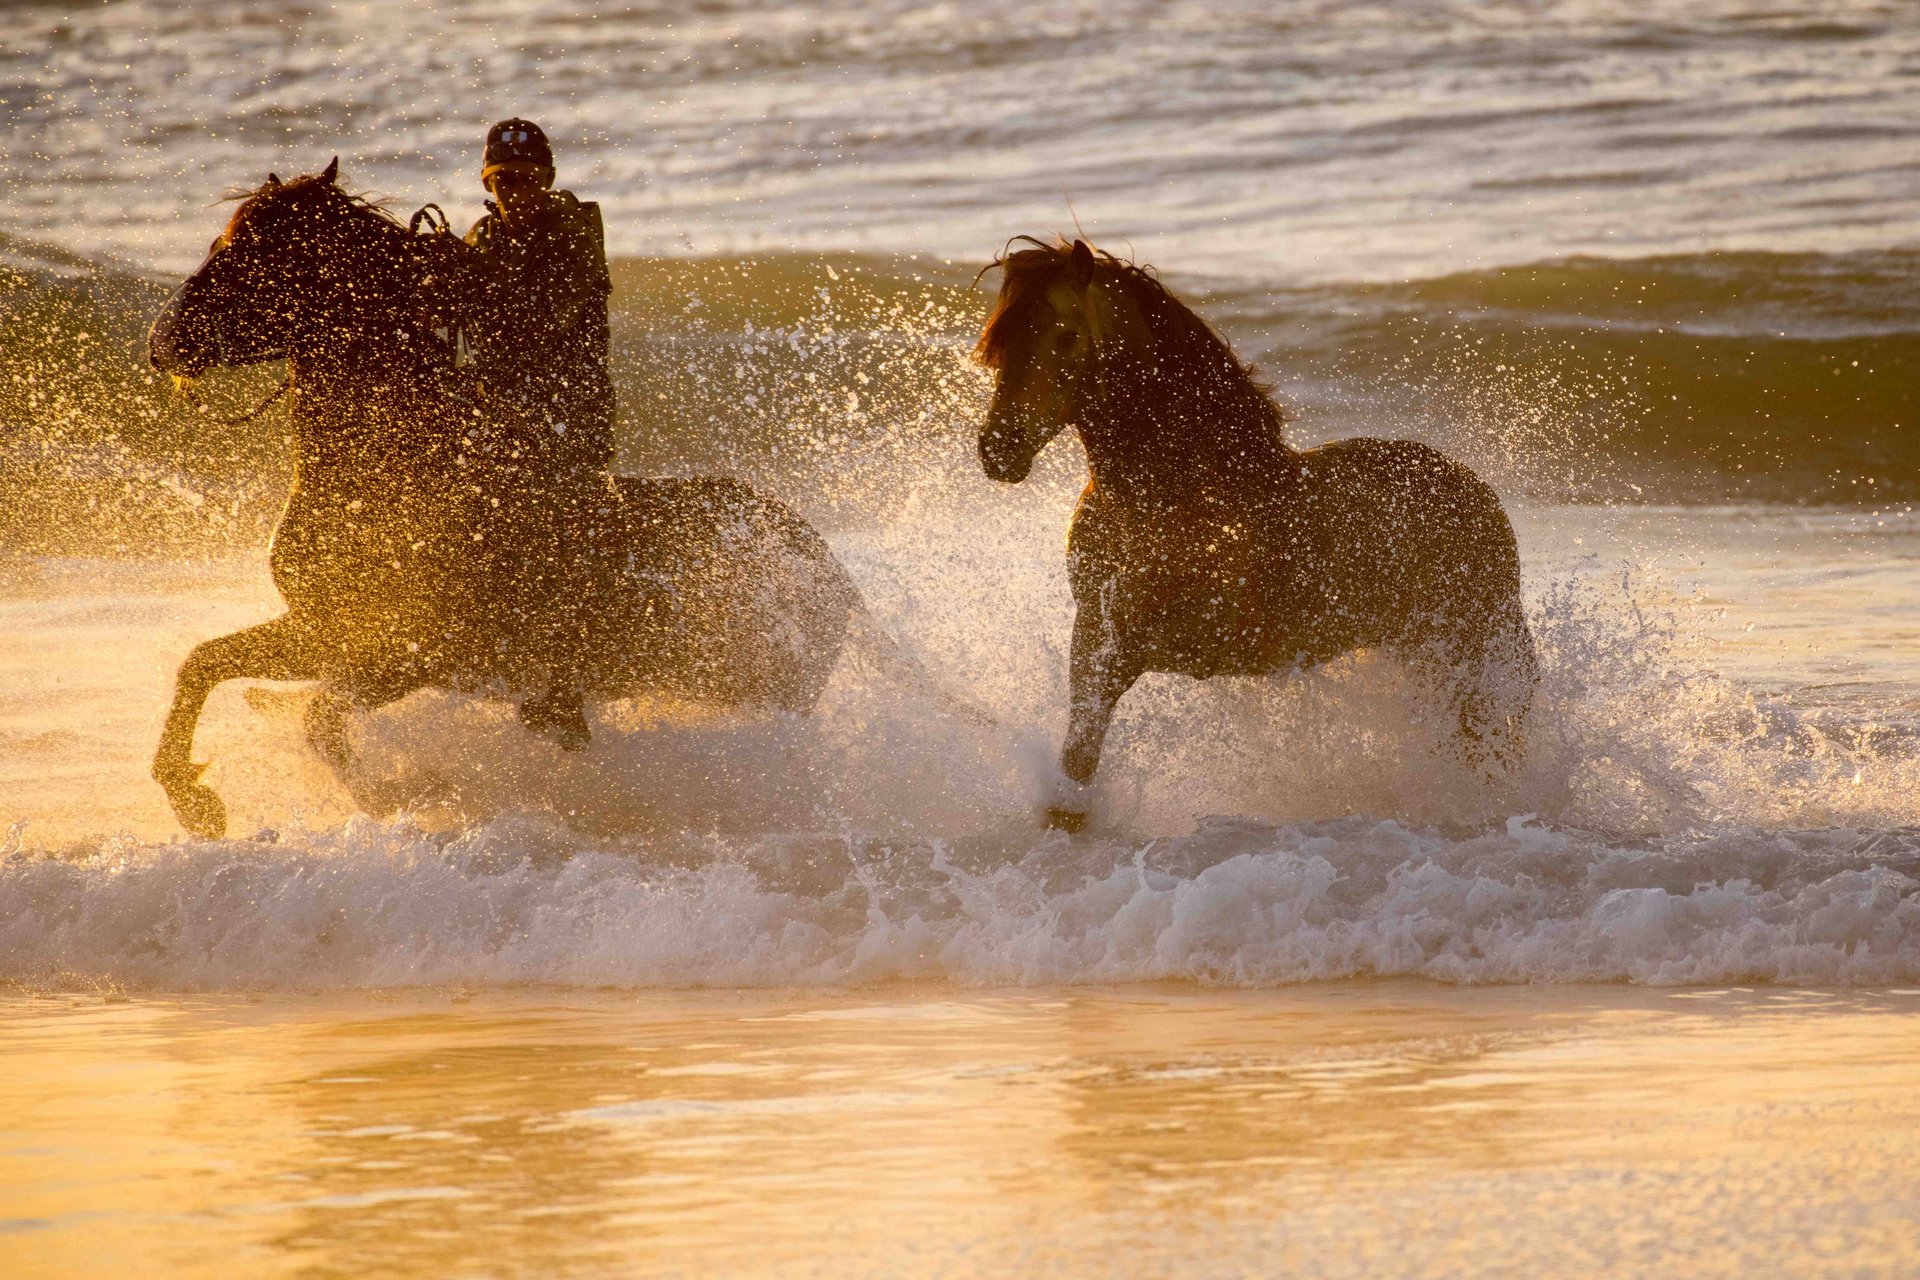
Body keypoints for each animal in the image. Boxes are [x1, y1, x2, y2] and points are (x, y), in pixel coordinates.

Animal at [146, 159, 860, 838]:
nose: (163, 340)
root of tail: (832, 572)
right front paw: (194, 802)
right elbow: (203, 665)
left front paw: (404, 792)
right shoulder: (327, 631)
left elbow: (321, 721)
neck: (393, 470)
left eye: (259, 254)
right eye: (224, 239)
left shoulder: (409, 654)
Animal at [974, 238, 1536, 830]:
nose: (998, 449)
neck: (1175, 490)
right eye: (999, 342)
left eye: (1065, 336)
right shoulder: (1091, 628)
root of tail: (1481, 494)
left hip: (1467, 650)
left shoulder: (1185, 634)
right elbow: (1078, 748)